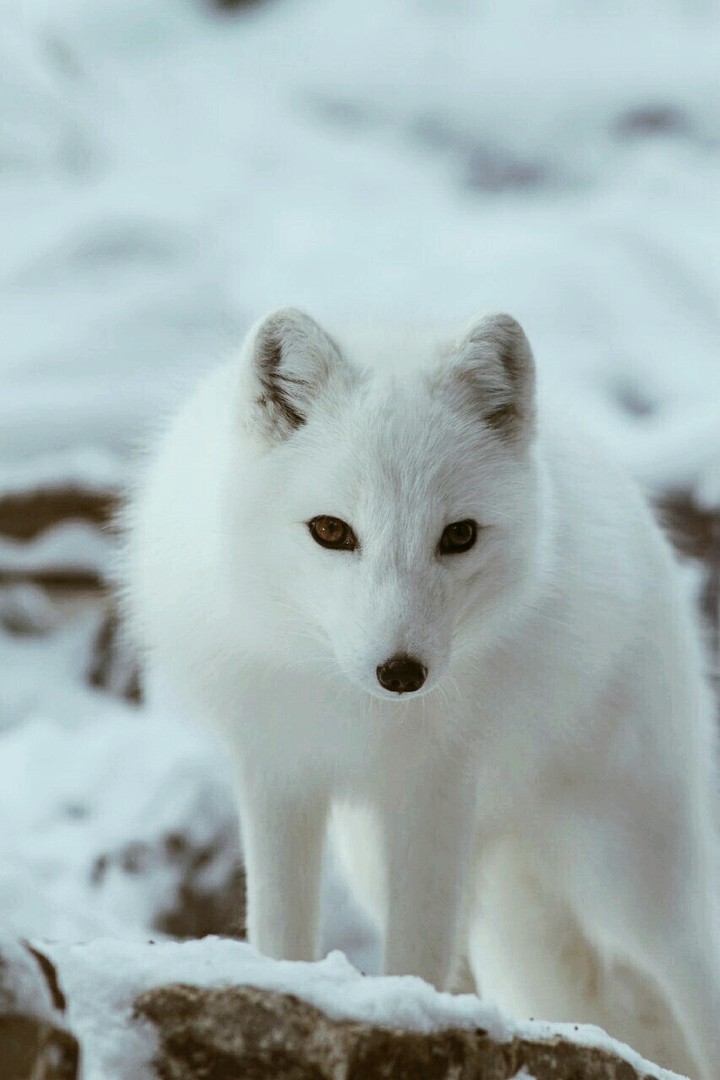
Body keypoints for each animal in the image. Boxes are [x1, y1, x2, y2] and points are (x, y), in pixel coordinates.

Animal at [122, 308, 720, 1078]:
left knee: (691, 980)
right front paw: (285, 995)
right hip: (413, 876)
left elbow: (419, 950)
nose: (401, 672)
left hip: (629, 876)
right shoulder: (278, 771)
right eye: (331, 531)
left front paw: (405, 1019)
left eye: (459, 535)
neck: (352, 708)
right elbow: (280, 930)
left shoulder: (437, 785)